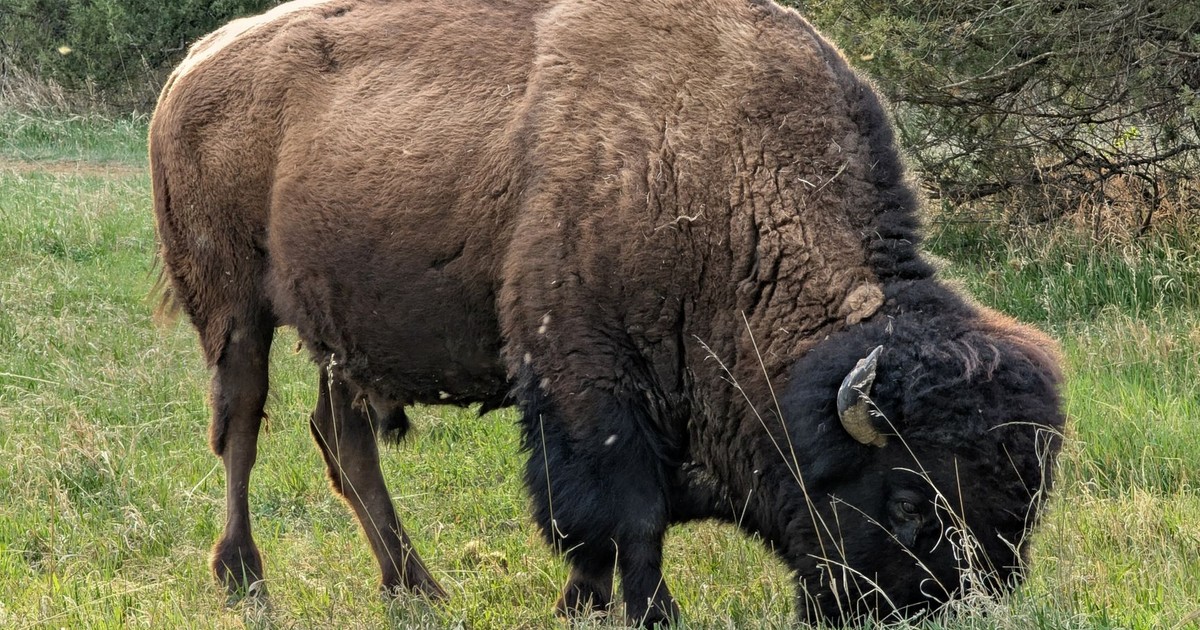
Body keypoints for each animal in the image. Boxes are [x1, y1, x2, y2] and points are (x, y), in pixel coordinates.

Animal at [150, 0, 1065, 625]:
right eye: (909, 503)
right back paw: (245, 579)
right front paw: (645, 612)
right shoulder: (589, 385)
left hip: (342, 333)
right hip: (234, 308)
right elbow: (625, 517)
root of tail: (195, 65)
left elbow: (608, 529)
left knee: (343, 440)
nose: (945, 610)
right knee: (240, 429)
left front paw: (581, 603)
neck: (717, 176)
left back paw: (416, 588)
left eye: (1024, 510)